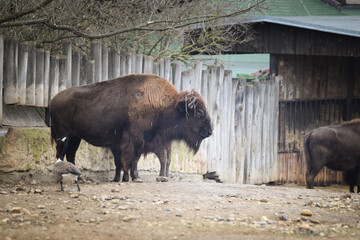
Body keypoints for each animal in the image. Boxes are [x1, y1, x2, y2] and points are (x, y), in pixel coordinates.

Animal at [51, 73, 214, 182]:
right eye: (199, 112)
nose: (209, 131)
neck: (166, 105)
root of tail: (53, 100)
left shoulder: (139, 142)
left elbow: (131, 160)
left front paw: (128, 178)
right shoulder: (134, 140)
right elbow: (129, 159)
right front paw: (132, 178)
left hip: (75, 137)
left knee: (71, 154)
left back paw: (79, 178)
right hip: (64, 136)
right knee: (61, 153)